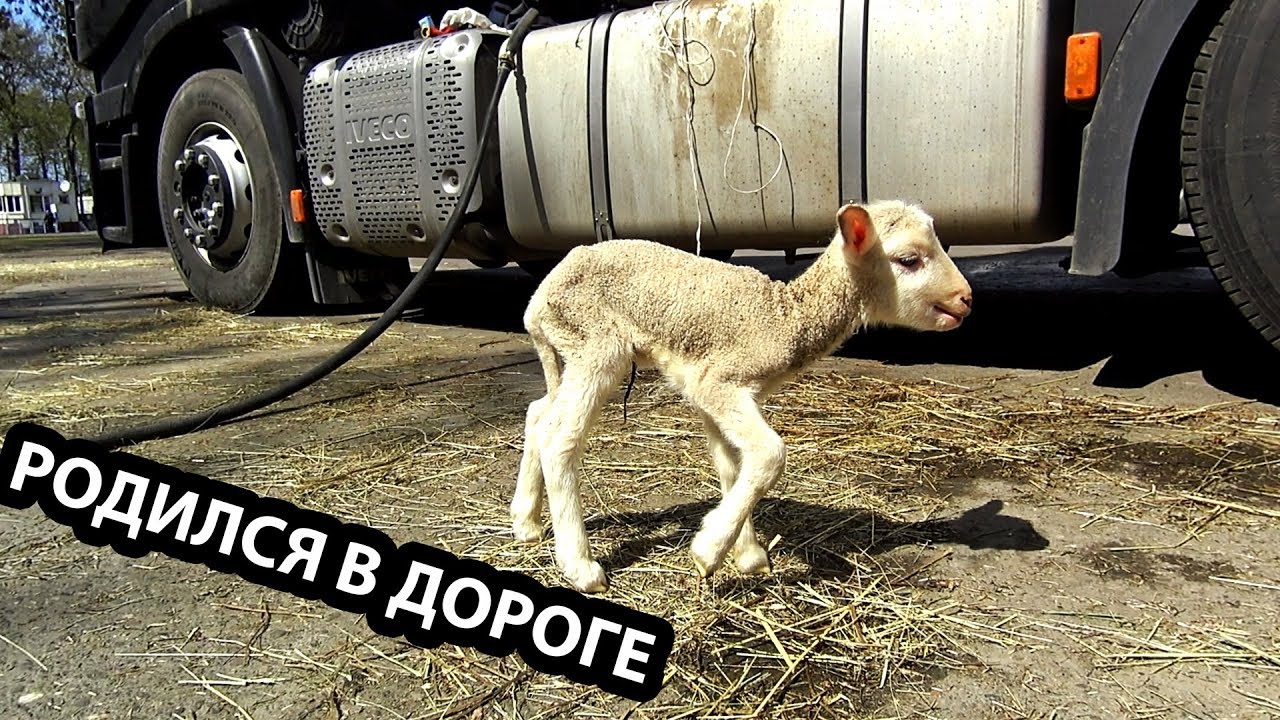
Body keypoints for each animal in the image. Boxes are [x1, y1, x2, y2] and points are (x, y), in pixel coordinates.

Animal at [511, 200, 973, 593]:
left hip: (571, 350)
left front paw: (747, 554)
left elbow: (732, 465)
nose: (966, 299)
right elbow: (770, 454)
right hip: (595, 343)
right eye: (909, 260)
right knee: (559, 440)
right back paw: (581, 567)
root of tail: (537, 301)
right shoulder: (718, 381)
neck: (787, 316)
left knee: (538, 414)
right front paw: (709, 551)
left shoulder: (712, 392)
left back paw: (526, 522)